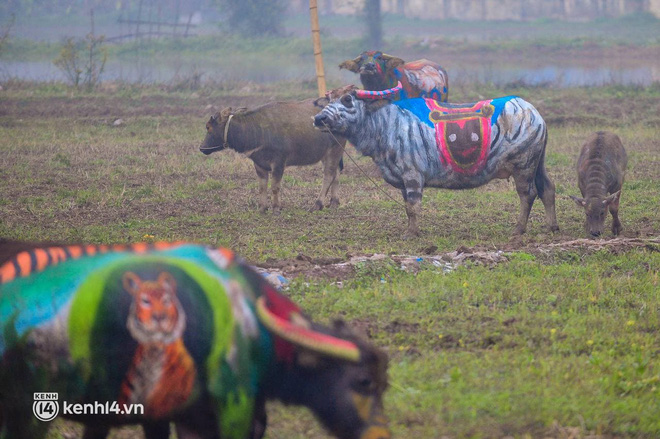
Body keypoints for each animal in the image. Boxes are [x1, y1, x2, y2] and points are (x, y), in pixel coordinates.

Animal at [200, 101, 346, 215]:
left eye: (208, 127)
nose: (202, 148)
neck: (257, 131)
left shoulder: (278, 163)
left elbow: (275, 187)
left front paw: (276, 208)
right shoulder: (259, 164)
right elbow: (262, 187)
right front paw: (262, 208)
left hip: (334, 151)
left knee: (328, 176)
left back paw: (317, 204)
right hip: (329, 154)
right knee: (336, 174)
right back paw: (334, 203)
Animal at [314, 84, 556, 239]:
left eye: (347, 100)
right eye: (329, 99)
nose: (319, 118)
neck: (386, 124)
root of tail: (532, 112)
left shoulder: (412, 176)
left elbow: (413, 207)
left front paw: (411, 234)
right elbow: (407, 207)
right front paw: (413, 230)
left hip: (523, 165)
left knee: (528, 194)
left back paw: (518, 229)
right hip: (538, 164)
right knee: (547, 189)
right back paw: (551, 227)